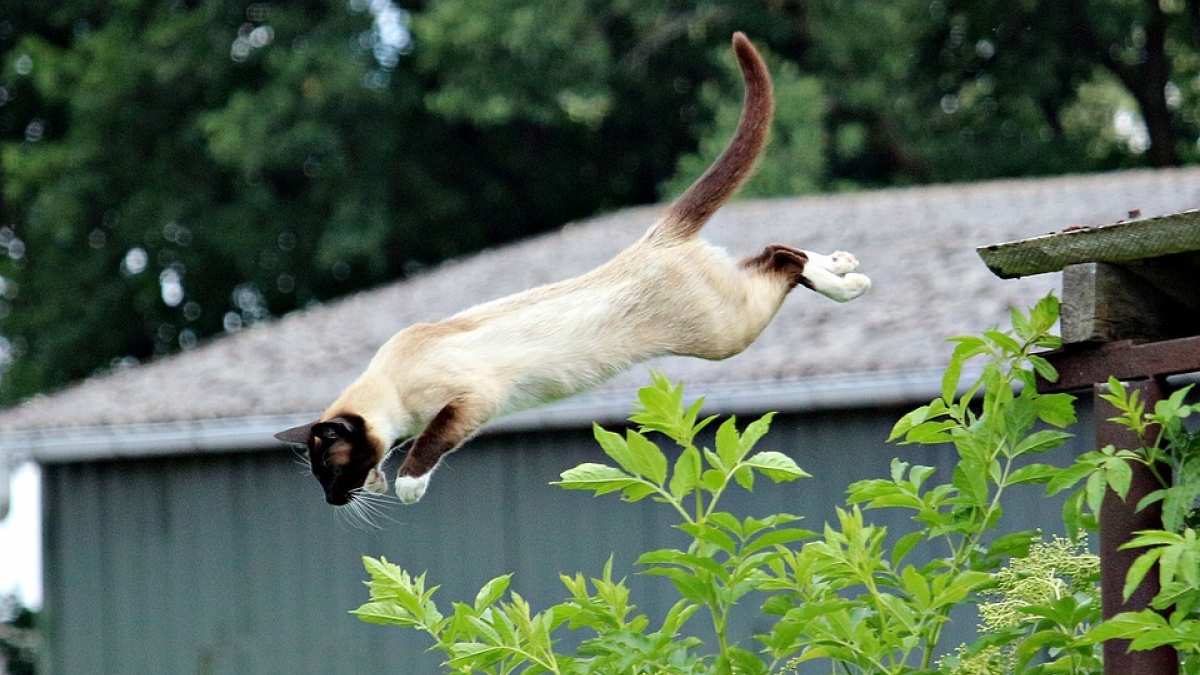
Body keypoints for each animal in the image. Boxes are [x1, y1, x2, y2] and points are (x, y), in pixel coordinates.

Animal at [274, 31, 868, 504]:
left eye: (332, 471)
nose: (331, 501)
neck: (393, 384)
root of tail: (655, 237)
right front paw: (385, 479)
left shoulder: (470, 402)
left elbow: (426, 444)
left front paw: (406, 486)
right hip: (730, 314)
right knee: (777, 252)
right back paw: (844, 267)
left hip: (724, 335)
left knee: (784, 261)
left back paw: (851, 283)